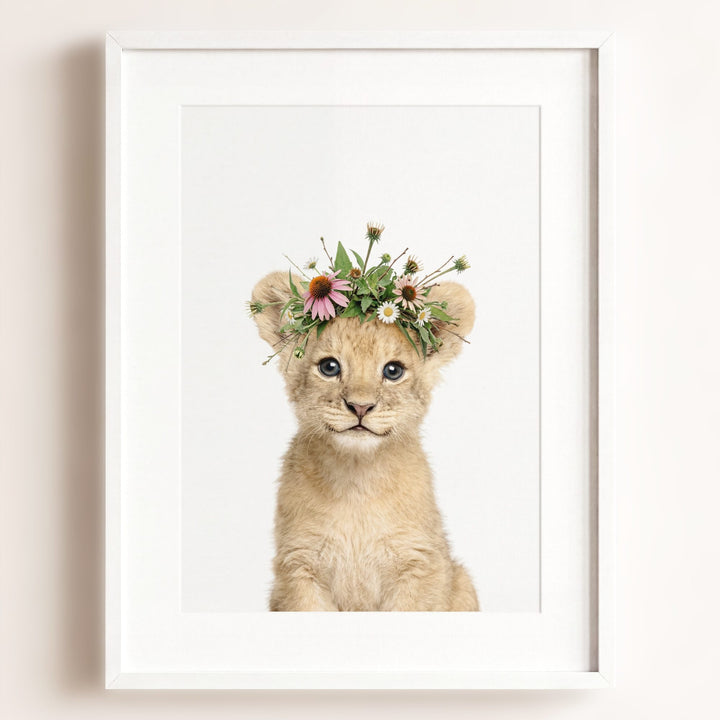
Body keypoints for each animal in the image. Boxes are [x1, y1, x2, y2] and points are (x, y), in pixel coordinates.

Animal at [251, 271, 479, 611]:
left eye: (393, 371)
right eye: (329, 367)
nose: (360, 407)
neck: (356, 481)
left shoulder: (421, 564)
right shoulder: (298, 567)